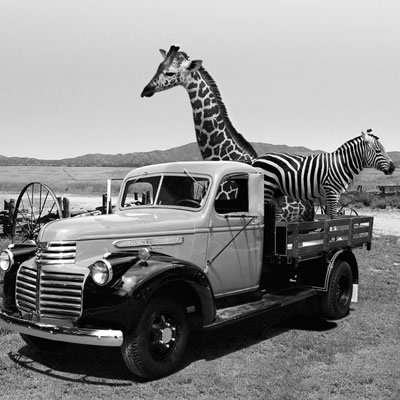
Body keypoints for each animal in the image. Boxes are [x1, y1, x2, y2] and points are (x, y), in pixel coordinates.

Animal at [253, 130, 394, 219]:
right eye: (378, 151)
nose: (393, 167)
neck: (342, 164)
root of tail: (257, 159)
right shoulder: (331, 191)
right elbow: (332, 217)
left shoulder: (336, 193)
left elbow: (330, 216)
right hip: (266, 188)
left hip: (276, 192)